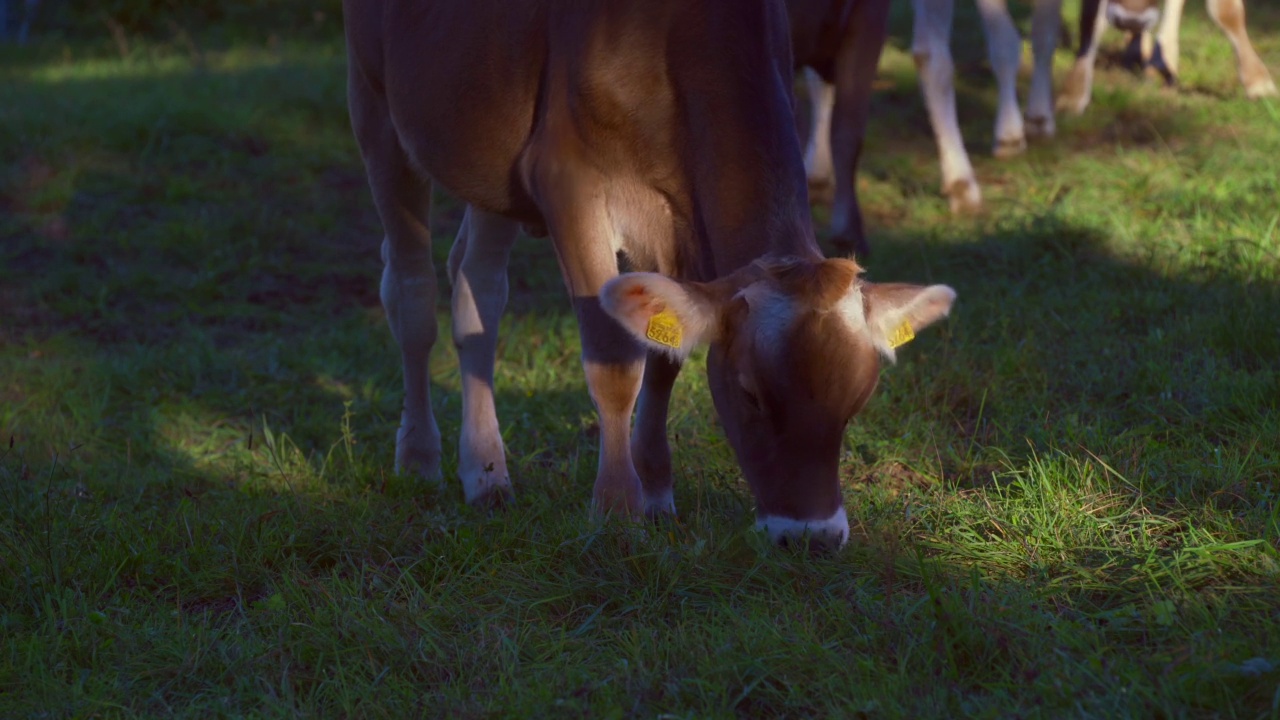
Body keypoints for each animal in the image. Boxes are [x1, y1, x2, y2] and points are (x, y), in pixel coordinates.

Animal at [340, 0, 952, 548]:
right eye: (750, 393)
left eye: (857, 402)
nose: (814, 537)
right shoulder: (568, 179)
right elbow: (615, 360)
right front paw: (616, 510)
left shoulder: (676, 215)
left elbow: (665, 357)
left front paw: (656, 493)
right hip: (375, 105)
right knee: (412, 289)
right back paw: (419, 458)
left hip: (488, 157)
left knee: (477, 287)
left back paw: (486, 475)